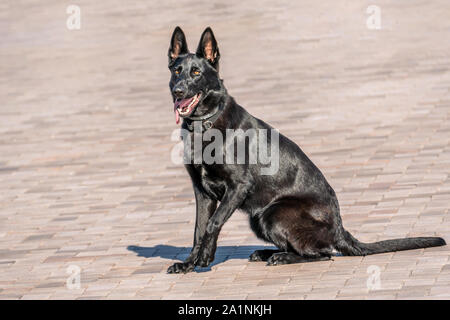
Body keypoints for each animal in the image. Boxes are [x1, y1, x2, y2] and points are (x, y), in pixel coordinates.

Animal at [166, 26, 446, 274]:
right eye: (176, 71)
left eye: (196, 72)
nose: (178, 91)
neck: (204, 125)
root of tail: (340, 230)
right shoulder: (202, 192)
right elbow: (198, 229)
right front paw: (189, 263)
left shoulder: (238, 187)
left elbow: (213, 223)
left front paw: (205, 258)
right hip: (259, 218)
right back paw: (267, 253)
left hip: (272, 214)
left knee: (322, 254)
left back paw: (281, 257)